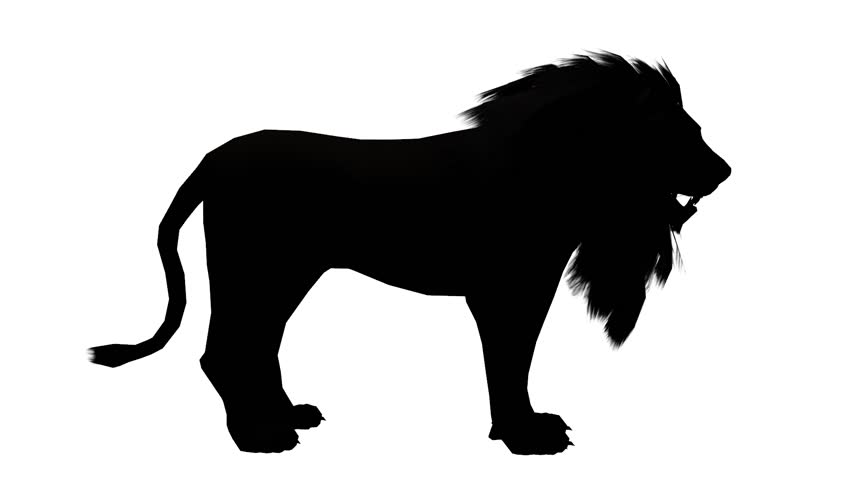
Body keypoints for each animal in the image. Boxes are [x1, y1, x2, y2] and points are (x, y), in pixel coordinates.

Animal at [90, 51, 731, 455]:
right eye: (682, 133)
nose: (725, 171)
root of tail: (211, 159)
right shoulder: (505, 292)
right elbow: (509, 361)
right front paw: (524, 438)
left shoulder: (523, 289)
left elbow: (517, 361)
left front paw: (523, 427)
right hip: (255, 270)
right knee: (222, 352)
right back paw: (258, 437)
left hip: (287, 275)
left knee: (259, 346)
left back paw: (287, 415)